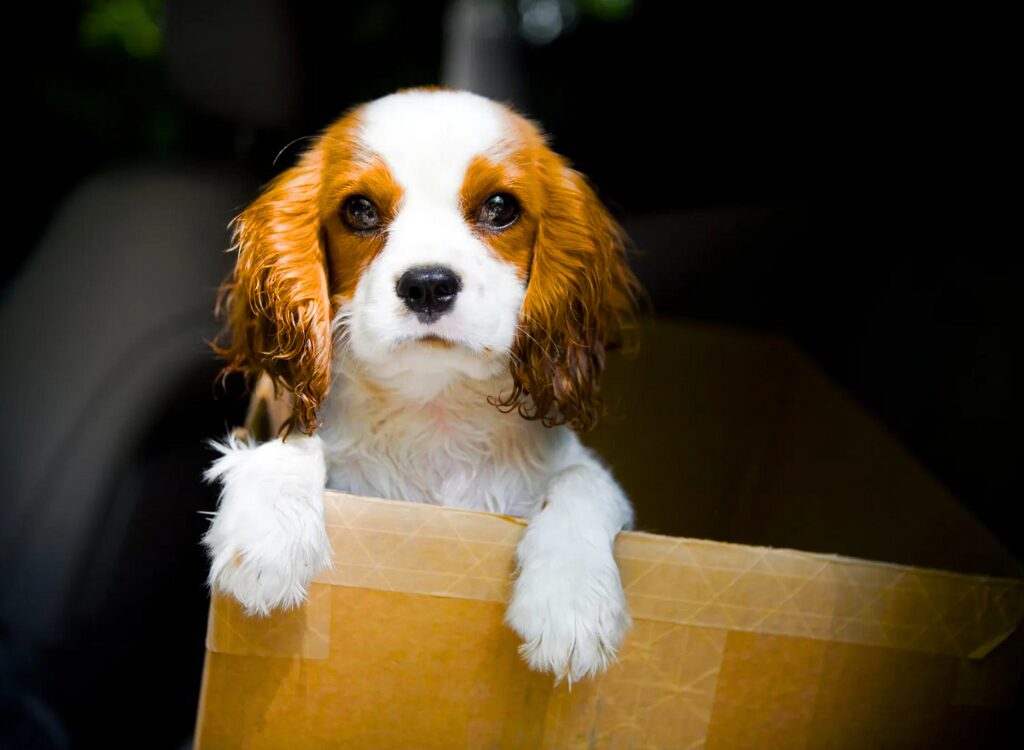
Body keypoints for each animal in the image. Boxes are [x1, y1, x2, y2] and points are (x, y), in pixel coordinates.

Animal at [202, 86, 638, 680]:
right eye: (360, 210)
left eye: (500, 207)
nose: (428, 285)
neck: (435, 407)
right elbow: (292, 442)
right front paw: (268, 535)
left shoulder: (587, 475)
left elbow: (583, 480)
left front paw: (570, 602)